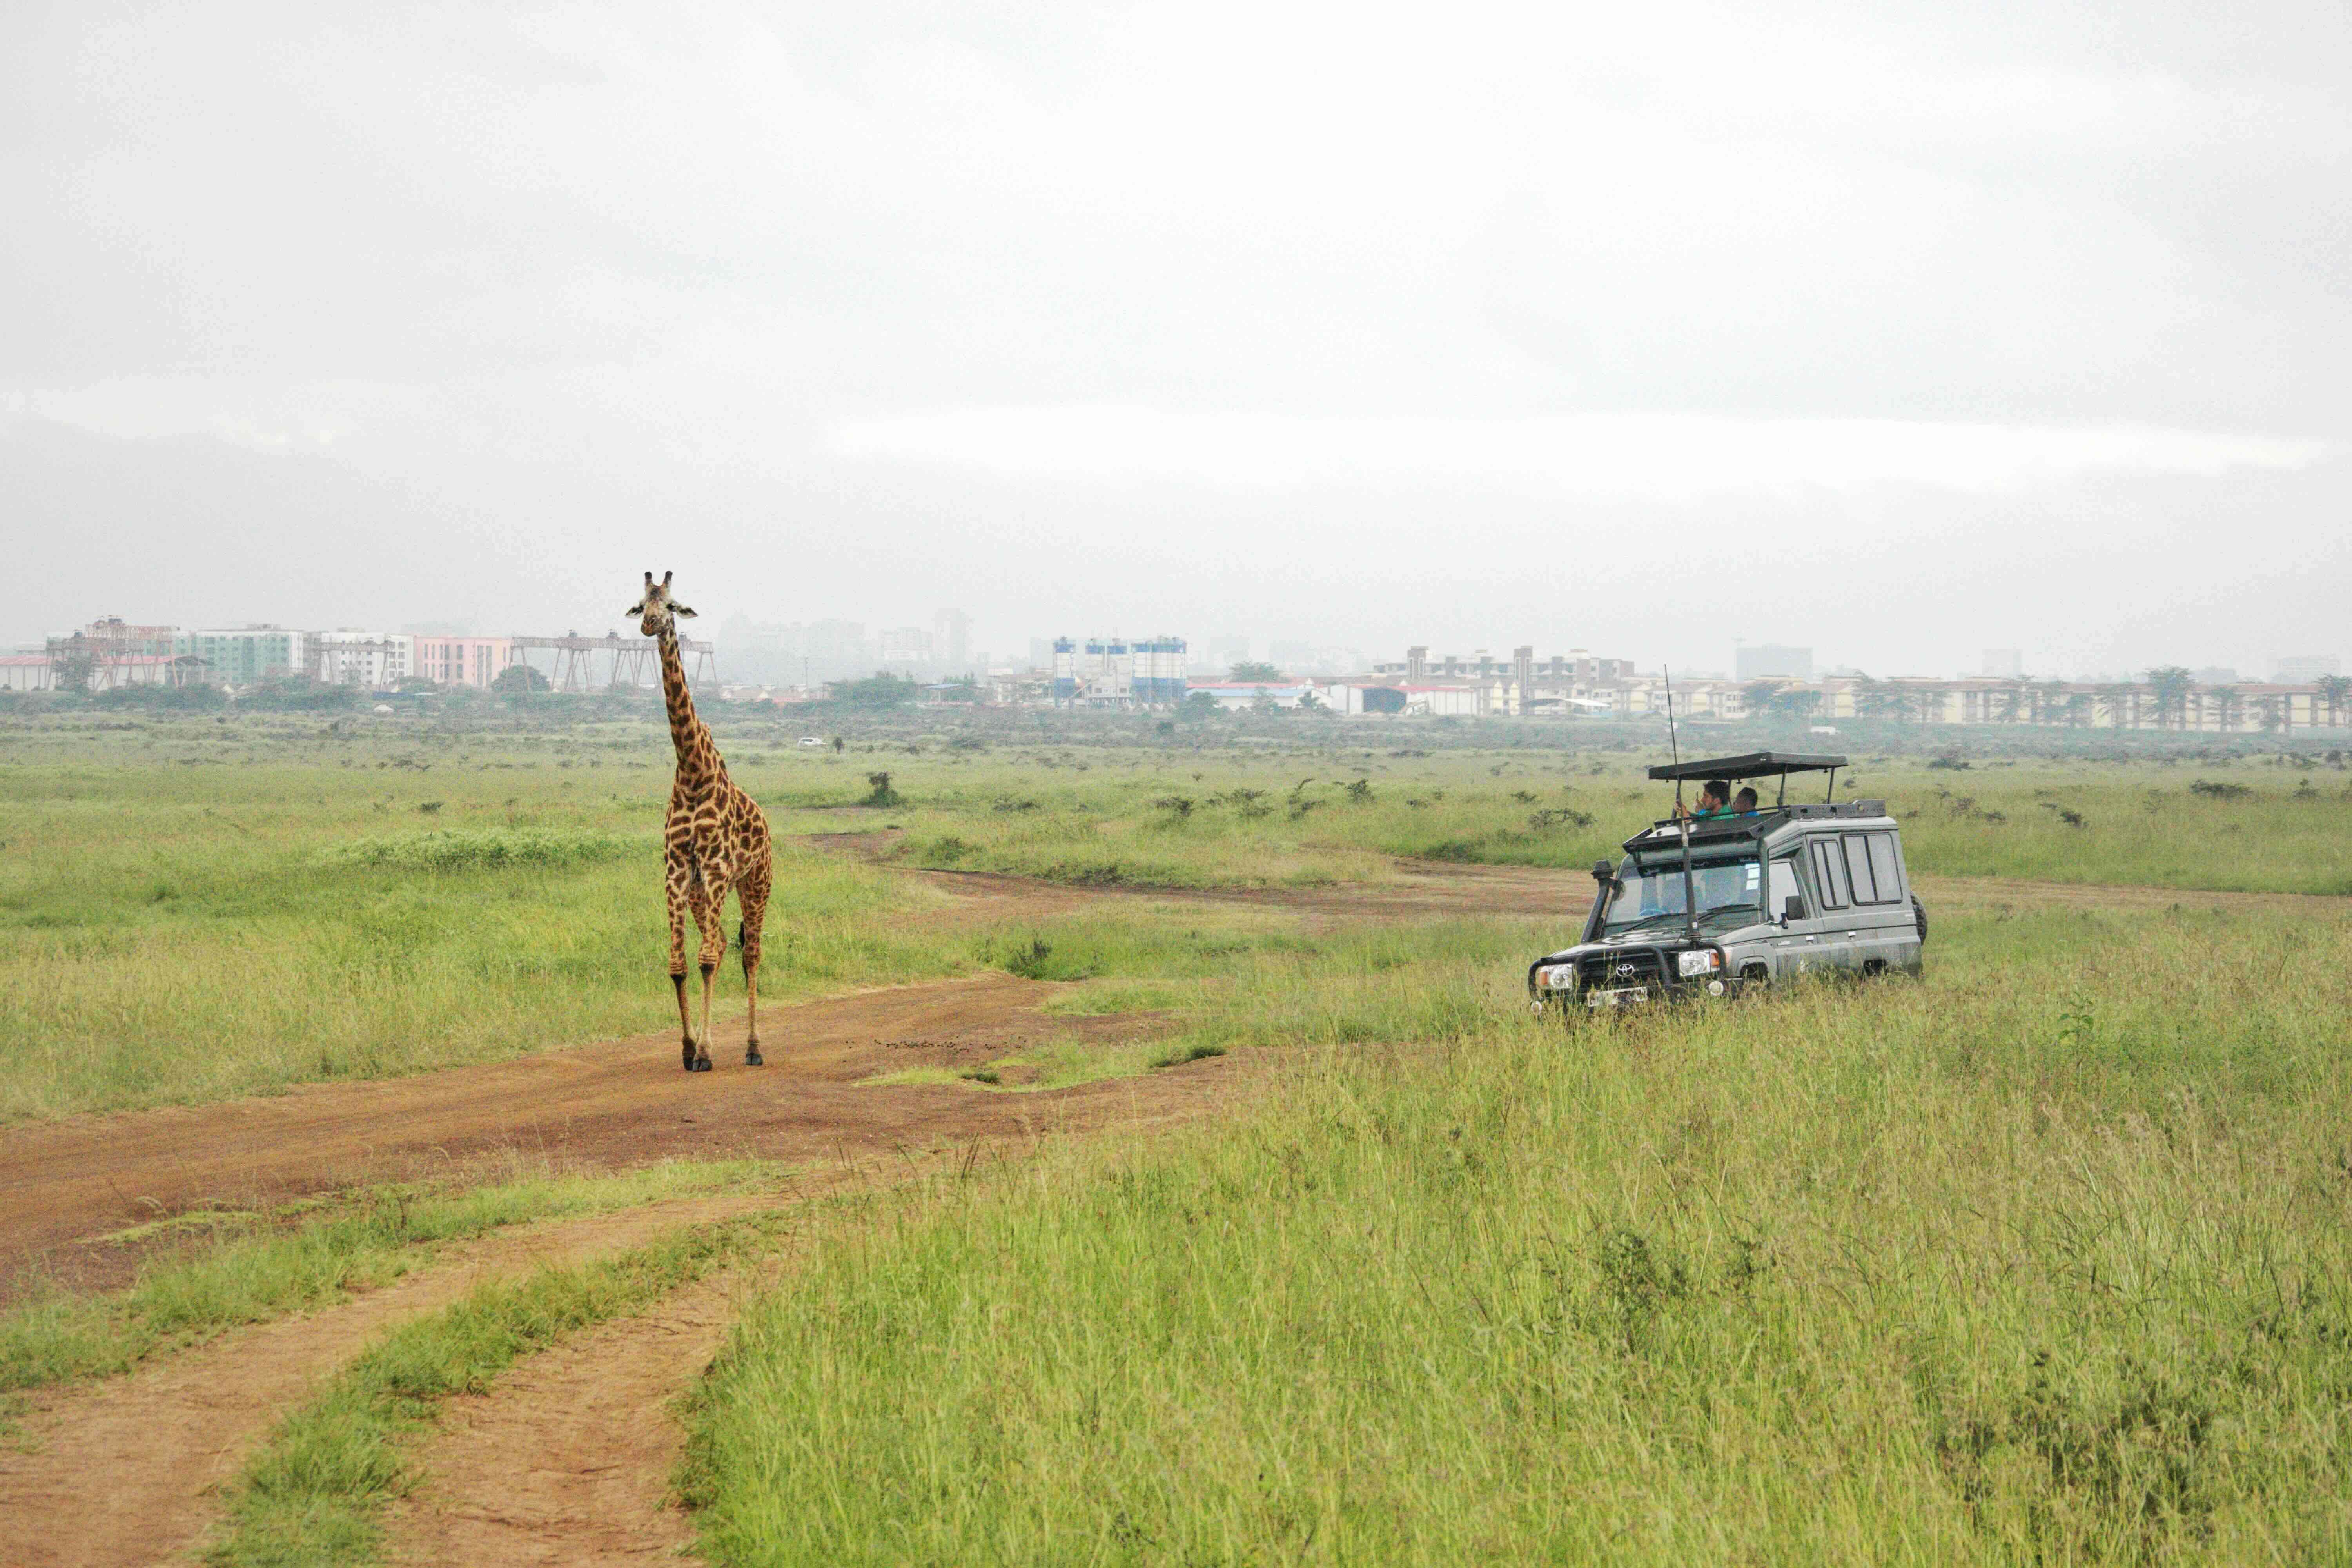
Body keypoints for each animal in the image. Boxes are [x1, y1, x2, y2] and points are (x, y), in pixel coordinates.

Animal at [629, 571, 772, 1071]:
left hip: (754, 882)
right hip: (701, 893)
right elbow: (680, 963)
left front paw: (707, 1052)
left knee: (750, 952)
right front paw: (689, 1047)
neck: (692, 771)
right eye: (640, 603)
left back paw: (753, 1047)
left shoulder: (714, 867)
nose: (649, 625)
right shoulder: (676, 871)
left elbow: (707, 960)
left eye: (672, 605)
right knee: (727, 943)